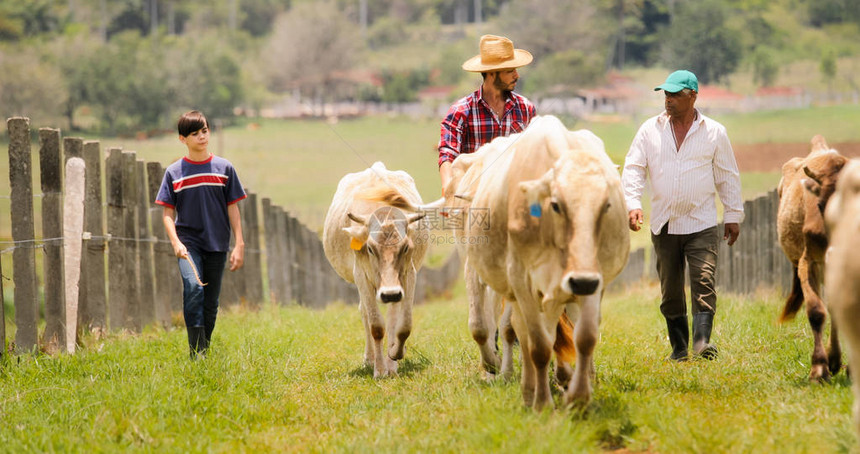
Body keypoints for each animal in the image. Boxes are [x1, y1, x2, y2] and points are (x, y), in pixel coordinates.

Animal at [320, 161, 428, 378]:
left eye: (405, 247)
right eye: (369, 248)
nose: (390, 293)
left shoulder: (409, 275)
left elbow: (403, 325)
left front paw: (395, 356)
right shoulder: (361, 276)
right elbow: (376, 326)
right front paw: (379, 370)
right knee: (365, 314)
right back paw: (370, 360)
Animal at [456, 115, 632, 410]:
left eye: (606, 205)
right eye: (556, 204)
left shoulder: (590, 282)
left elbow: (585, 336)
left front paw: (579, 396)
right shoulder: (520, 283)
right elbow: (535, 344)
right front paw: (541, 402)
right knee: (520, 333)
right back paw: (529, 387)